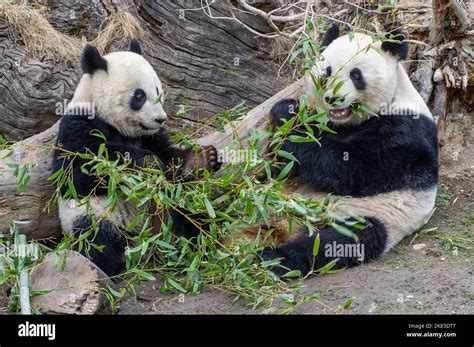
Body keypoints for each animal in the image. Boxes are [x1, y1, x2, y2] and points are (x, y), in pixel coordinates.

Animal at [52, 39, 221, 278]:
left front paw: (202, 158)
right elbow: (76, 172)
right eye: (139, 96)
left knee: (191, 215)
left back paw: (196, 243)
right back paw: (117, 264)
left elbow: (170, 159)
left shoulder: (152, 137)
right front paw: (147, 163)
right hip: (96, 213)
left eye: (158, 91)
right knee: (96, 234)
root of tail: (146, 240)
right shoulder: (77, 125)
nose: (160, 119)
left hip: (170, 204)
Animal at [258, 25, 438, 278]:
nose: (333, 98)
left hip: (371, 217)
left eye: (356, 75)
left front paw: (287, 114)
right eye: (327, 71)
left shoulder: (408, 132)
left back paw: (272, 259)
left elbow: (350, 170)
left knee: (334, 242)